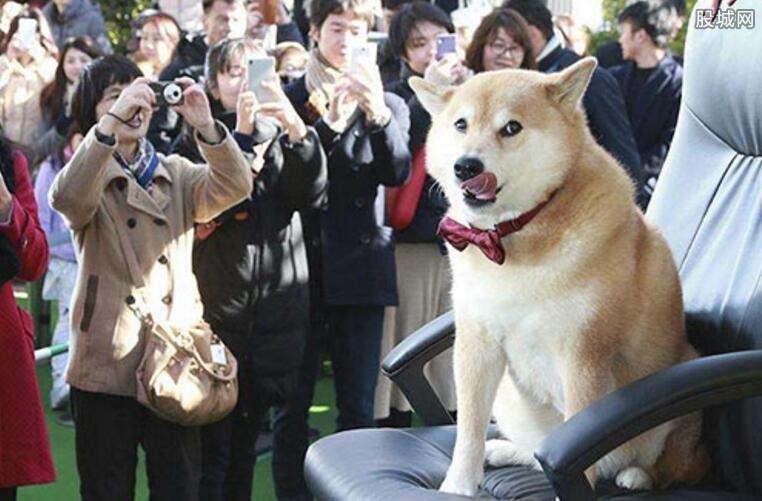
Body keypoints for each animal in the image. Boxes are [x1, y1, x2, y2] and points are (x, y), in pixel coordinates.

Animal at [410, 56, 708, 494]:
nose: (465, 166)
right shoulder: (477, 341)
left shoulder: (583, 353)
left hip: (681, 393)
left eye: (511, 127)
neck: (513, 236)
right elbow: (468, 428)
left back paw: (635, 474)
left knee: (666, 467)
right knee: (538, 450)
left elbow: (579, 443)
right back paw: (507, 451)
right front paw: (458, 485)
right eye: (460, 124)